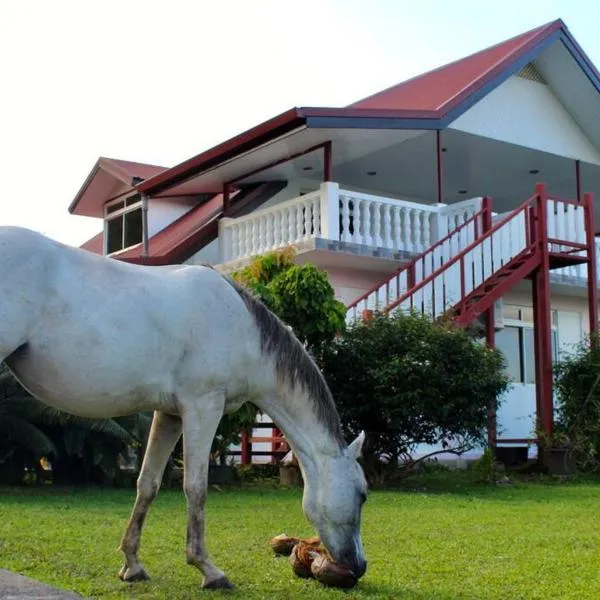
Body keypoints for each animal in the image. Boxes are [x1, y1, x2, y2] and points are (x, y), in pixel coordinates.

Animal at [0, 227, 368, 588]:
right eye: (363, 494)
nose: (359, 566)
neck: (245, 331)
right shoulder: (202, 407)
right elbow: (196, 487)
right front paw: (208, 569)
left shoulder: (171, 414)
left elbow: (147, 483)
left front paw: (132, 564)